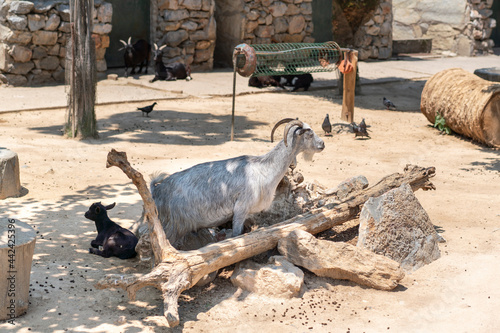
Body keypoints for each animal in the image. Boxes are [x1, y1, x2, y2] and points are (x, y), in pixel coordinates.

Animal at [150, 118, 326, 248]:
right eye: (309, 134)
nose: (322, 144)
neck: (263, 168)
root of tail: (157, 190)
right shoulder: (241, 208)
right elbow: (236, 235)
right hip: (173, 226)